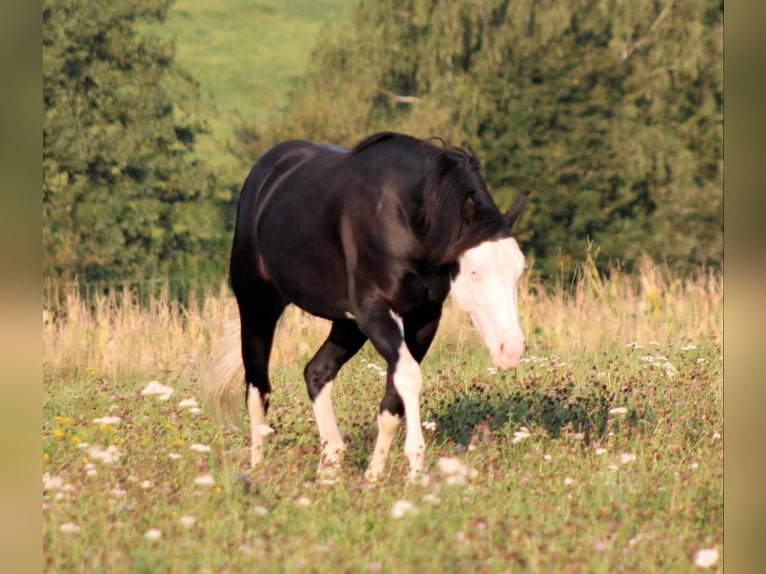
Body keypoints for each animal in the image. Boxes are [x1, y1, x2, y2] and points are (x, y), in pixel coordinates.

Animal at [212, 133, 536, 484]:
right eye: (475, 271)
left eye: (518, 269)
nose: (511, 350)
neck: (406, 217)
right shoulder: (375, 312)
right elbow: (409, 377)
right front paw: (415, 470)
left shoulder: (423, 318)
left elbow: (393, 397)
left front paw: (374, 478)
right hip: (258, 304)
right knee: (258, 391)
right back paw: (257, 470)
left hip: (347, 325)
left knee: (316, 372)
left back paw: (330, 464)